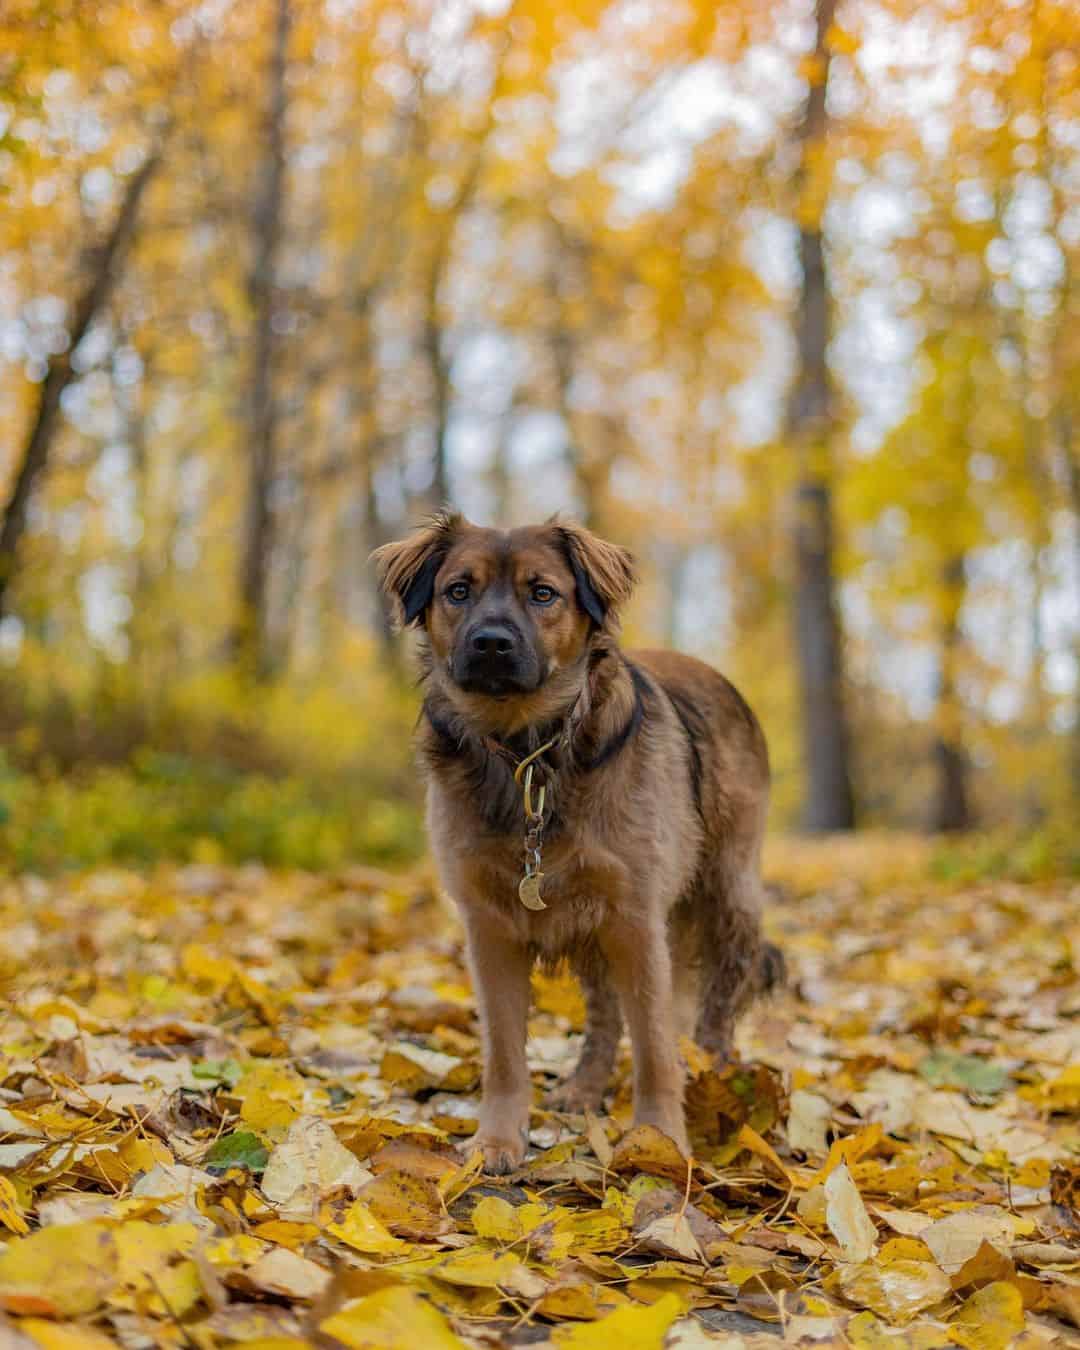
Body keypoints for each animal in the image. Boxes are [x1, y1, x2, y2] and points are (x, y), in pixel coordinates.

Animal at [372, 515, 777, 1171]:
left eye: (543, 593)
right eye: (458, 591)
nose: (491, 643)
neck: (527, 752)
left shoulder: (637, 920)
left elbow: (655, 1049)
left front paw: (660, 1141)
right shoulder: (490, 927)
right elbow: (504, 1053)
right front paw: (497, 1140)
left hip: (728, 894)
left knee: (718, 1001)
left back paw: (715, 1077)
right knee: (605, 1016)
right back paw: (585, 1089)